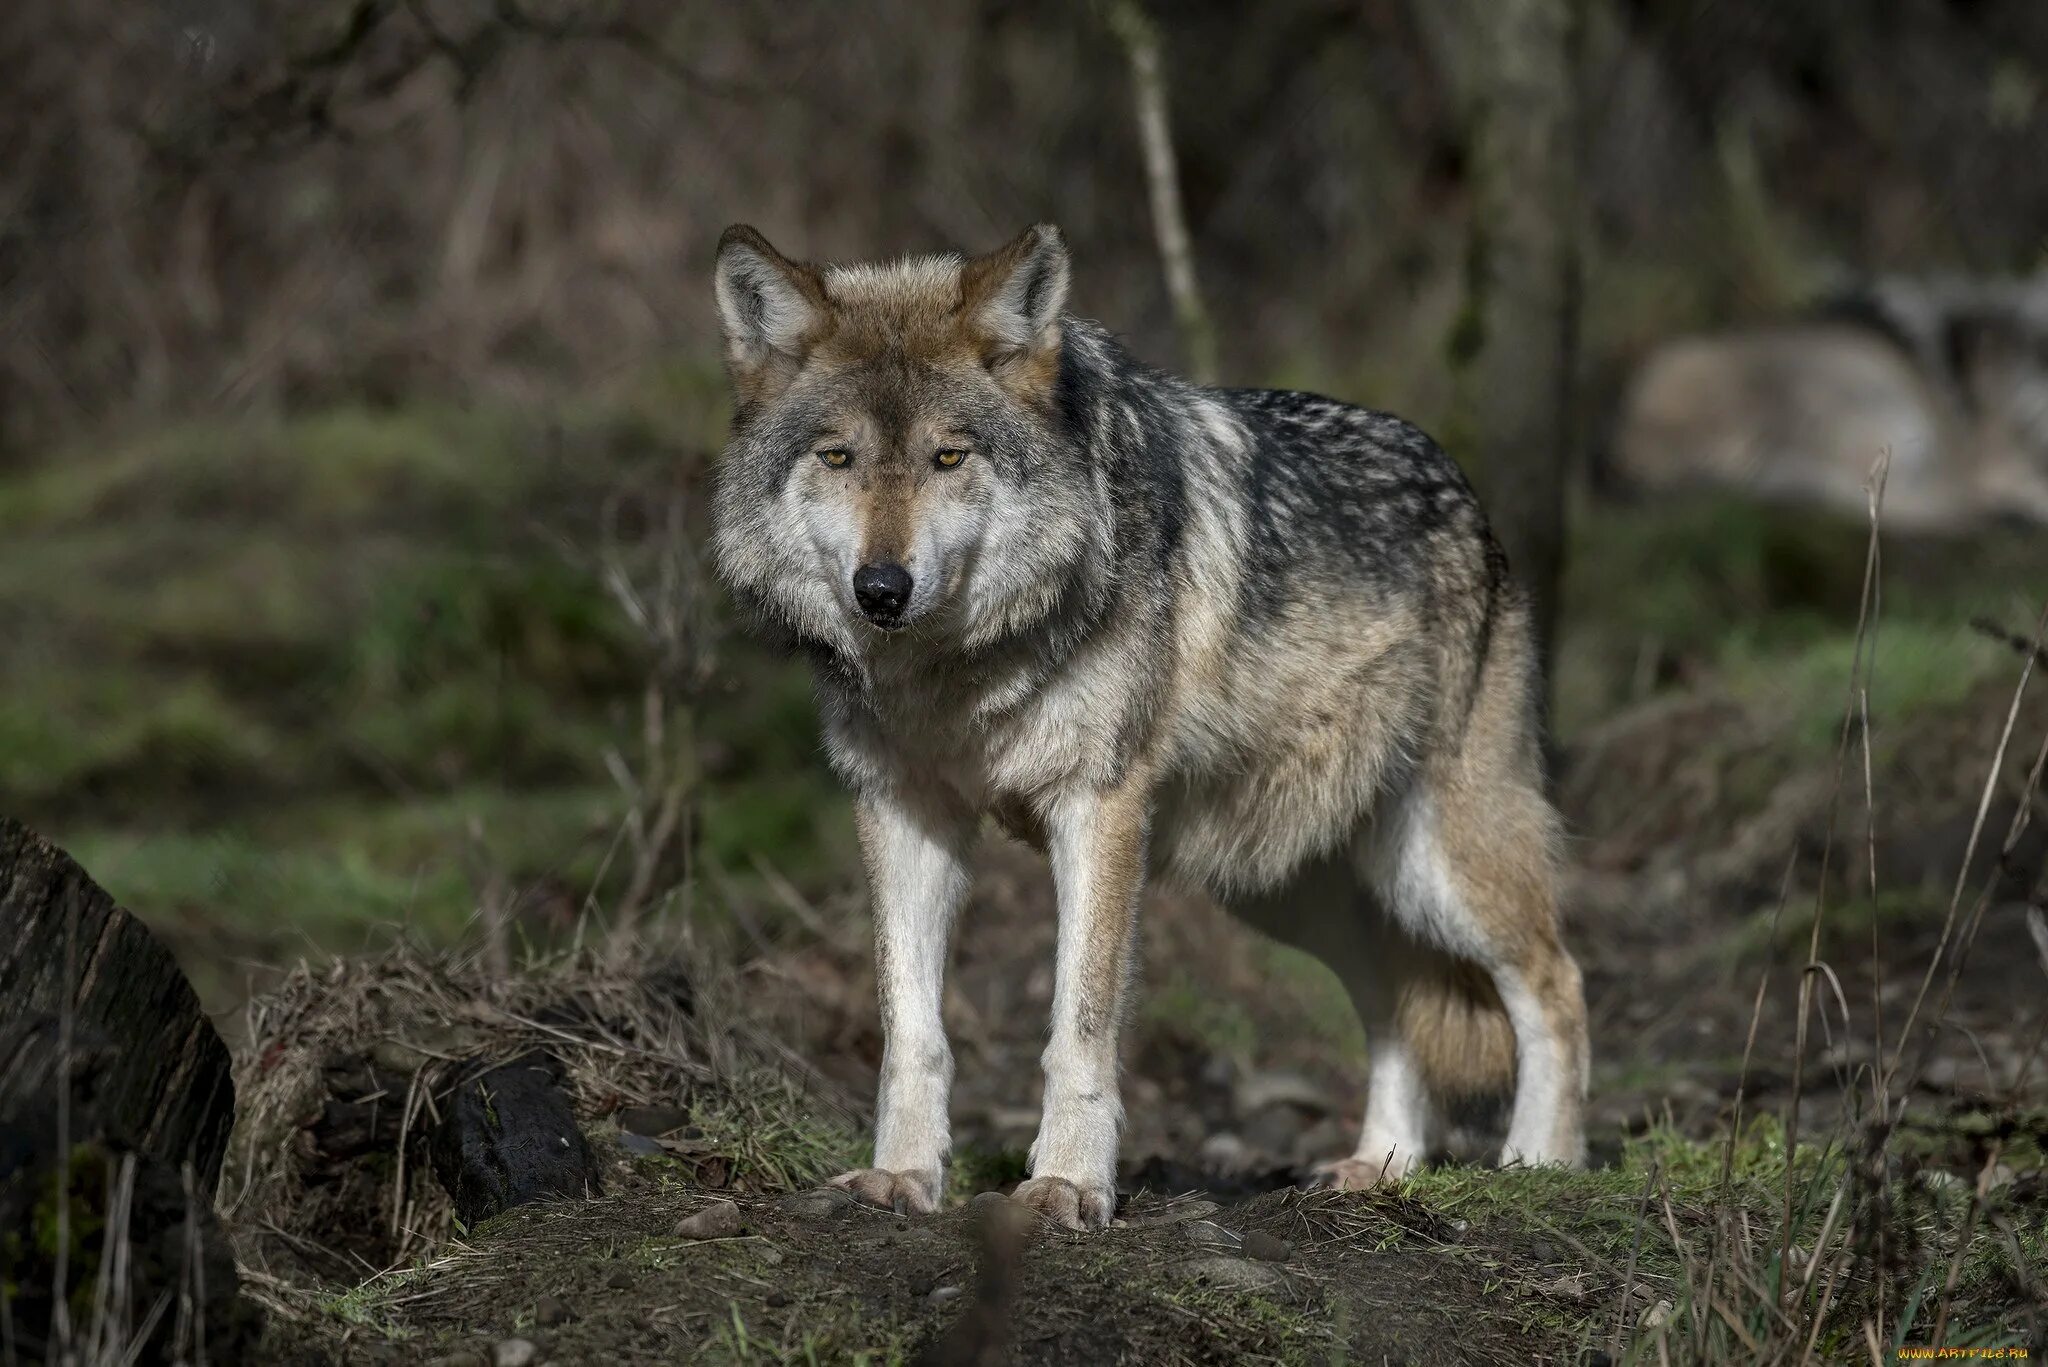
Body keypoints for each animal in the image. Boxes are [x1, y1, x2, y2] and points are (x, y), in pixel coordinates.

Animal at [712, 222, 1589, 1229]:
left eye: (949, 458)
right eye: (838, 458)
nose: (882, 589)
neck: (954, 673)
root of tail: (1467, 496)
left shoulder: (1097, 808)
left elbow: (1080, 1026)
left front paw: (1065, 1184)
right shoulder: (902, 811)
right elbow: (912, 1027)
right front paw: (902, 1176)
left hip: (1439, 862)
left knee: (1557, 983)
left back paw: (1539, 1164)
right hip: (1293, 890)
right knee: (1398, 1007)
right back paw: (1382, 1166)